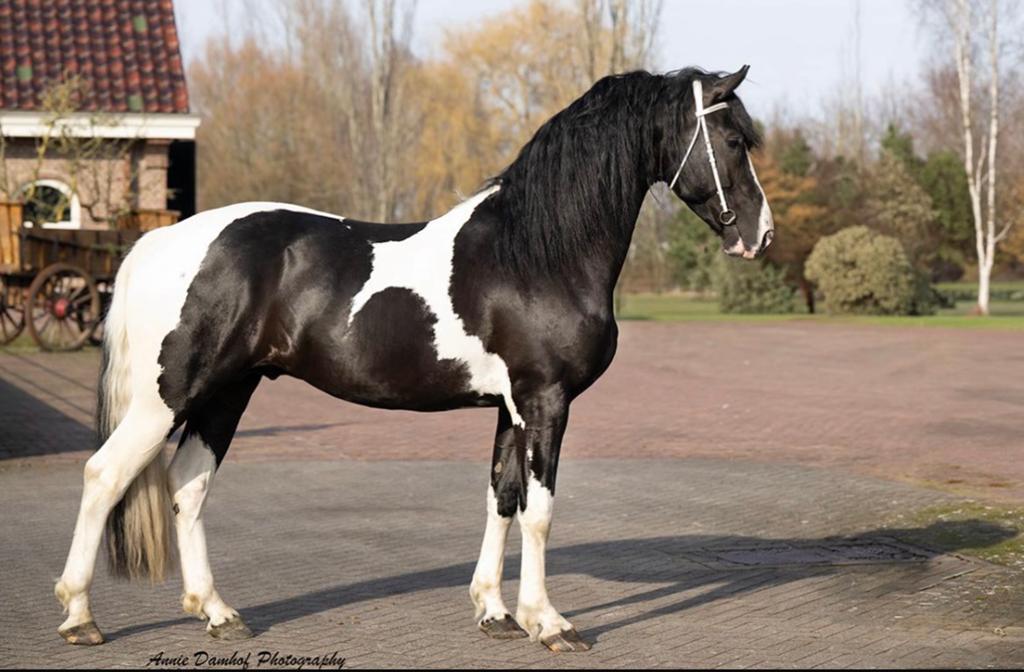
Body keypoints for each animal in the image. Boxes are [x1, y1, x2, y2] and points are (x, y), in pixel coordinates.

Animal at [54, 65, 773, 653]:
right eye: (734, 140)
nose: (760, 236)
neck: (535, 252)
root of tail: (161, 241)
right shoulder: (544, 400)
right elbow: (538, 512)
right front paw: (548, 623)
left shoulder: (509, 407)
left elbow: (502, 498)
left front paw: (494, 612)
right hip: (169, 396)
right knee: (103, 475)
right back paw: (80, 615)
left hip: (227, 392)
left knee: (188, 486)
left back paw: (217, 612)